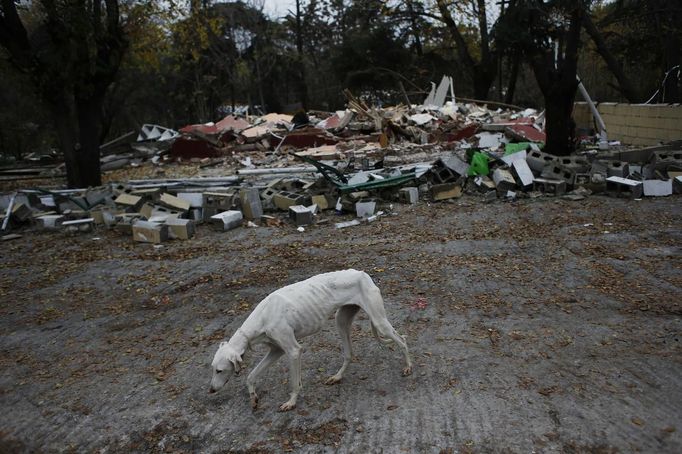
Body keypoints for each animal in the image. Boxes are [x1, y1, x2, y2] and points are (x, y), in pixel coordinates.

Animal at [207, 270, 410, 412]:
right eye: (213, 369)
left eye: (220, 370)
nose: (211, 391)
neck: (263, 315)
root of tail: (362, 273)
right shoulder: (276, 351)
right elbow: (250, 376)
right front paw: (253, 398)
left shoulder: (293, 351)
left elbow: (294, 383)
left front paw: (291, 402)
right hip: (341, 321)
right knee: (349, 354)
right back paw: (337, 377)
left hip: (380, 322)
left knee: (402, 339)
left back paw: (408, 367)